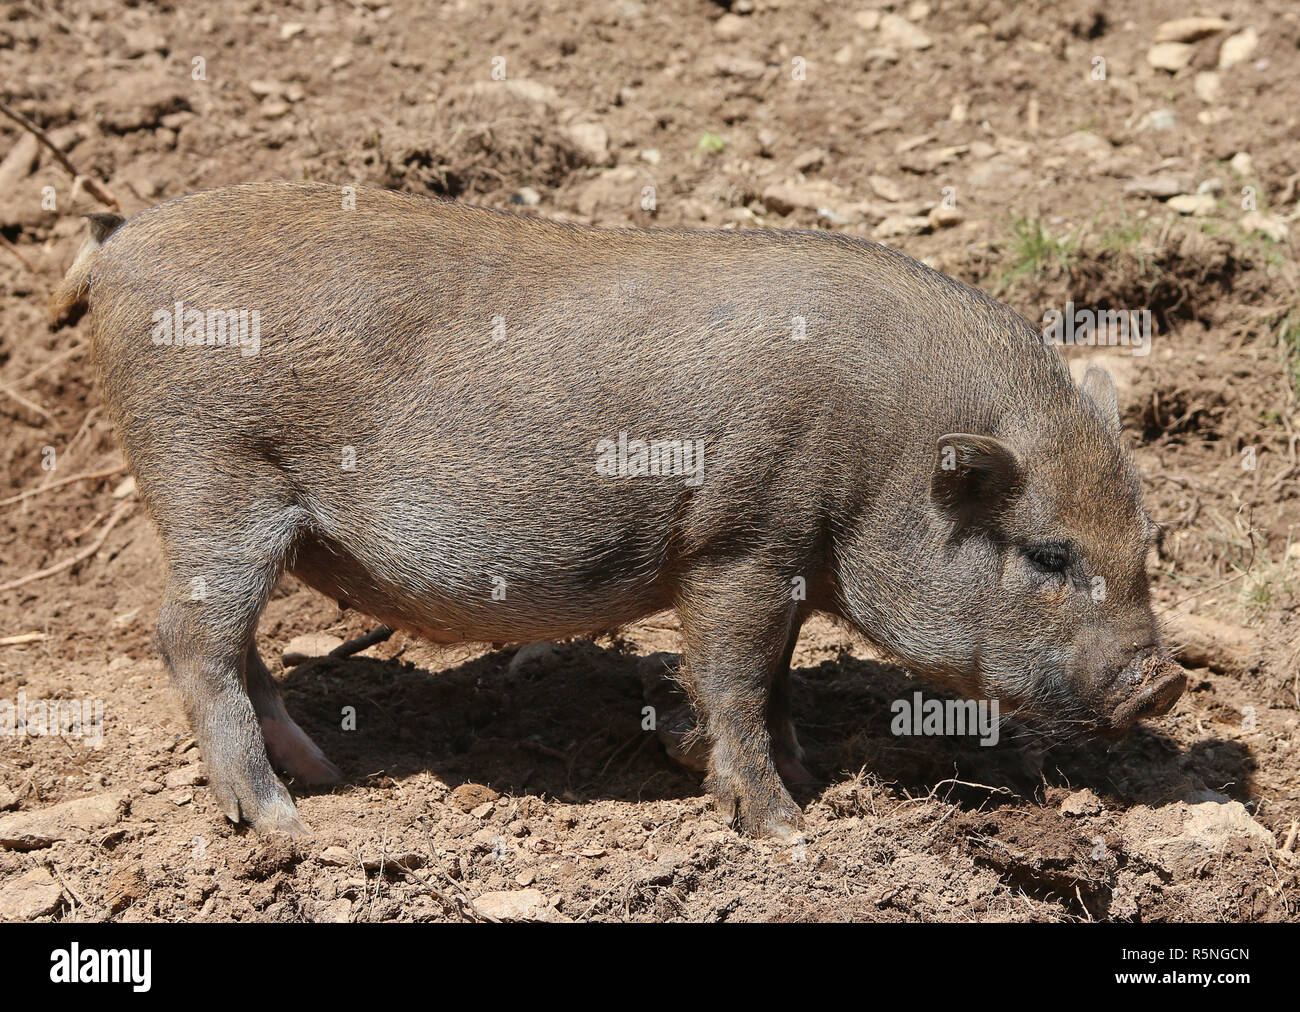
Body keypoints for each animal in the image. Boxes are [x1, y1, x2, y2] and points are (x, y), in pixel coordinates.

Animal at [50, 180, 1185, 837]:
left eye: (1149, 543)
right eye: (1047, 554)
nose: (1164, 682)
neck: (885, 448)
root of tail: (119, 244)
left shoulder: (781, 559)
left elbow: (773, 680)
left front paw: (804, 774)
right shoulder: (738, 539)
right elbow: (733, 678)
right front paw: (783, 827)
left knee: (238, 651)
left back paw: (325, 771)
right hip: (212, 481)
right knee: (189, 639)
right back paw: (283, 824)